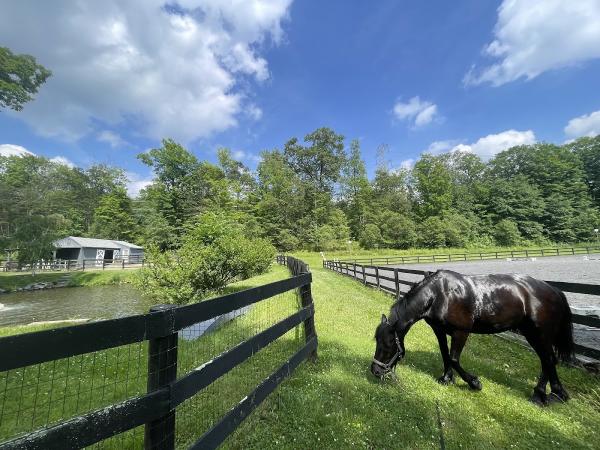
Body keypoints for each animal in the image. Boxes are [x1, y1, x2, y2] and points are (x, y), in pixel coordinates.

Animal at [372, 268, 576, 406]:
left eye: (389, 344)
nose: (375, 371)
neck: (439, 294)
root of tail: (554, 290)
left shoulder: (461, 332)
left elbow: (454, 358)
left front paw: (474, 383)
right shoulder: (439, 330)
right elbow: (445, 355)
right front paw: (446, 379)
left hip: (539, 333)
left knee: (548, 359)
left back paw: (548, 394)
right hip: (532, 333)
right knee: (547, 360)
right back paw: (548, 393)